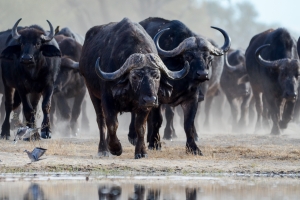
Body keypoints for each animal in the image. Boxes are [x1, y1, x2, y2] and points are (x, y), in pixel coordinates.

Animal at [78, 18, 189, 159]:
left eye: (157, 76)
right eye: (135, 76)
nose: (150, 99)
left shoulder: (144, 106)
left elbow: (140, 127)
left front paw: (141, 152)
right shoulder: (107, 98)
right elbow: (112, 124)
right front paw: (115, 148)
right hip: (92, 92)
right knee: (101, 120)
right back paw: (103, 149)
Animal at [128, 17, 230, 155]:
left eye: (209, 58)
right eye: (188, 56)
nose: (203, 74)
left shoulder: (192, 98)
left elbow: (188, 123)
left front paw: (193, 147)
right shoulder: (157, 98)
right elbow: (158, 120)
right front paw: (155, 143)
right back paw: (134, 136)